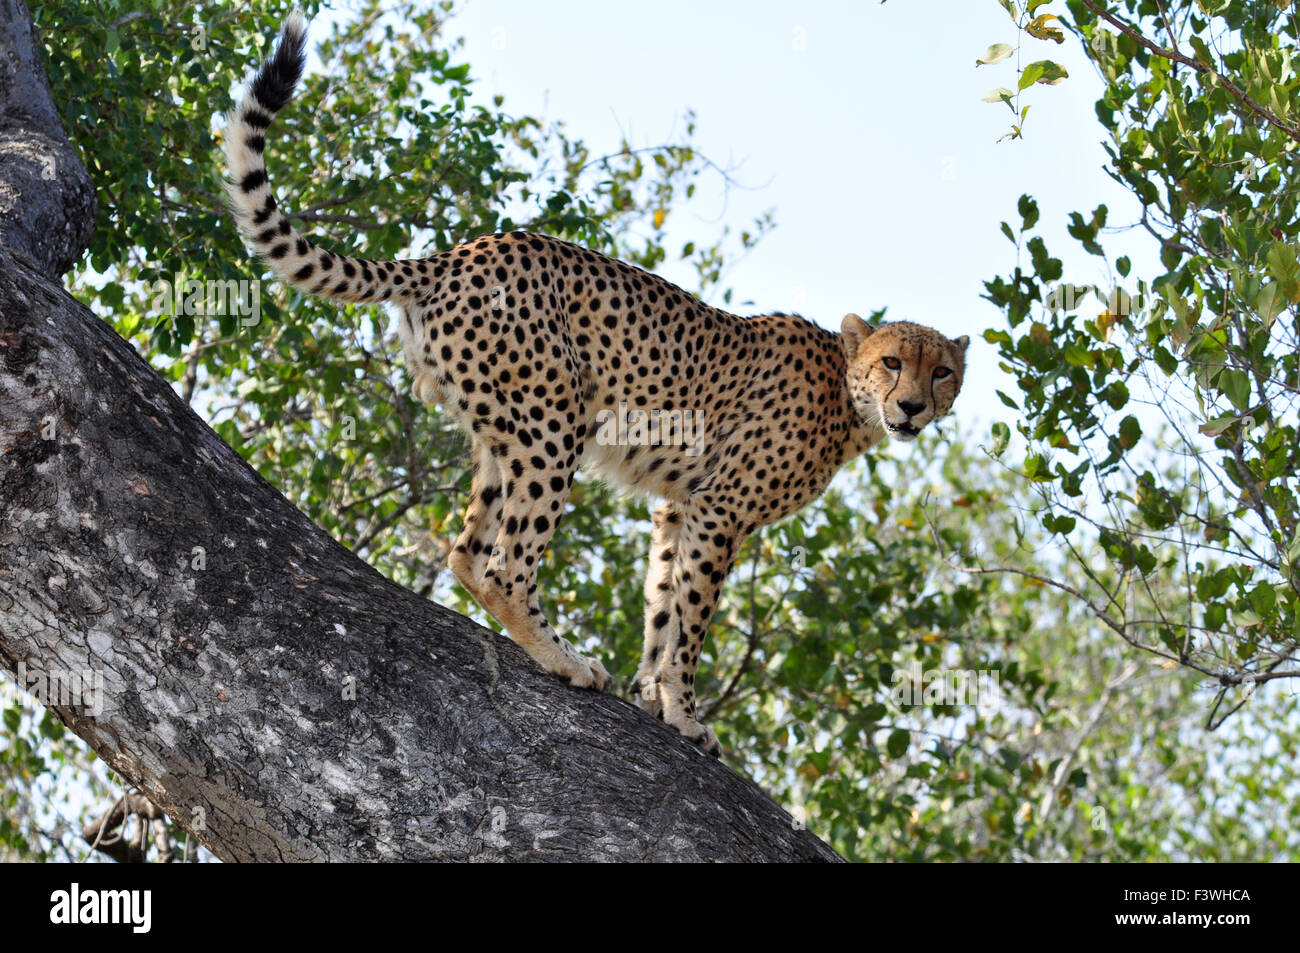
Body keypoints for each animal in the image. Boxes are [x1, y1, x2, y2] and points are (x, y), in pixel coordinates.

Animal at [223, 14, 967, 754]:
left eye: (943, 372)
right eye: (893, 362)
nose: (911, 407)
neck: (849, 401)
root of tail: (459, 252)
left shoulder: (680, 505)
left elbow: (663, 608)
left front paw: (657, 700)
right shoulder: (721, 508)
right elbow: (692, 621)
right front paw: (686, 714)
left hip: (504, 428)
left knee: (467, 553)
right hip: (555, 423)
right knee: (505, 566)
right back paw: (566, 661)